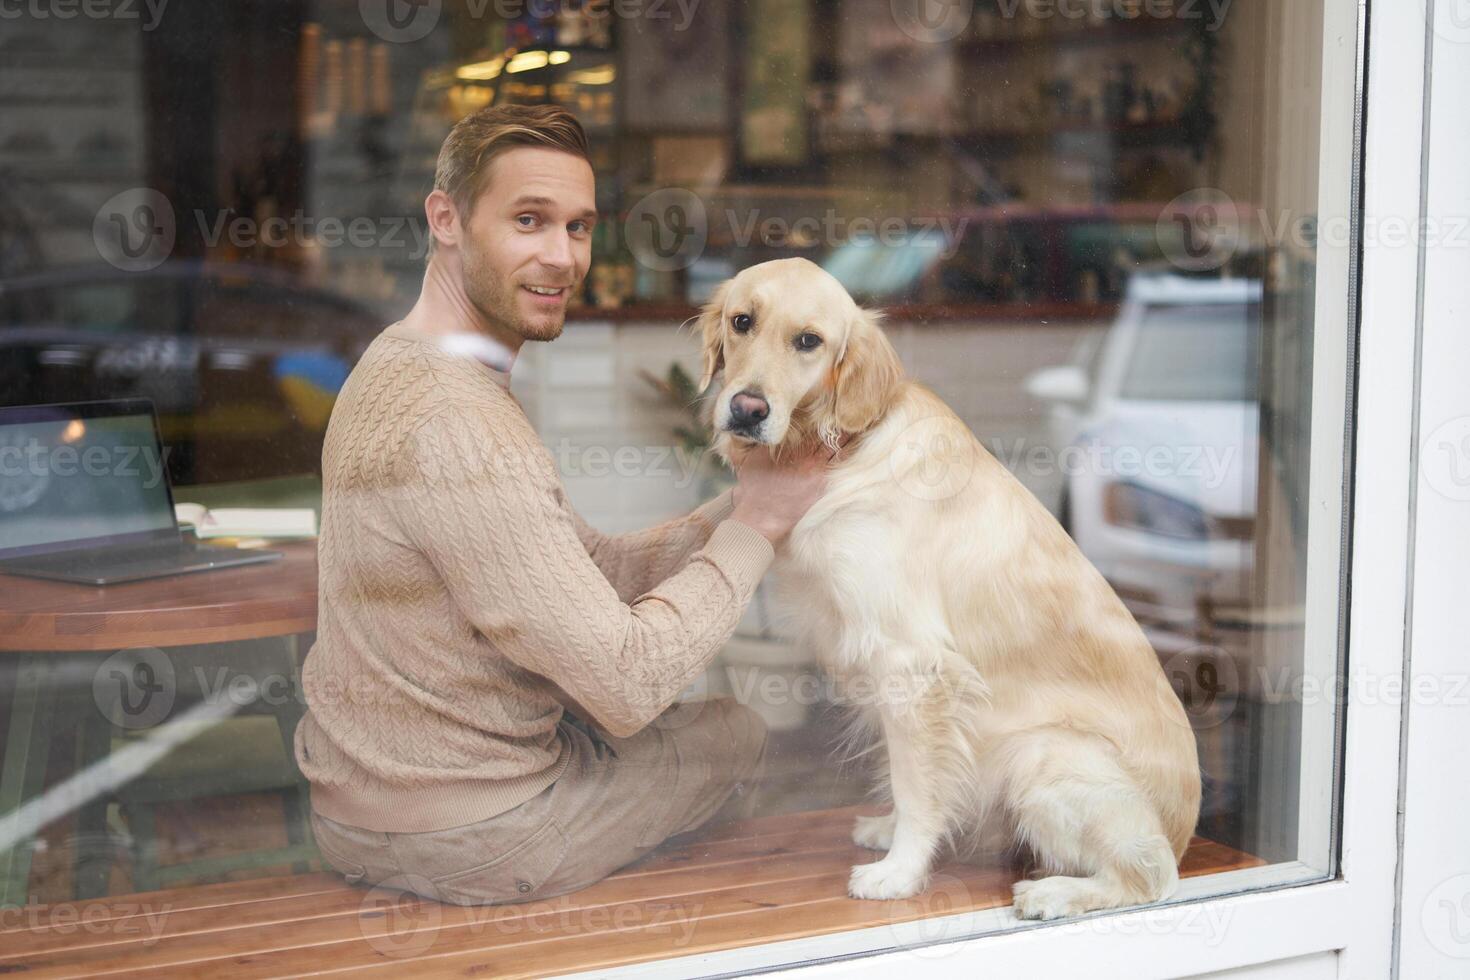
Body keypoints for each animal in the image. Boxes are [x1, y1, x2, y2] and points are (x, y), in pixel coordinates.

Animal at [693, 258, 1199, 922]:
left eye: (809, 341)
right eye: (741, 322)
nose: (747, 409)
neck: (841, 445)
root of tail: (1186, 834)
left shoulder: (913, 664)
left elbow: (916, 786)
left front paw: (900, 872)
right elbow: (911, 777)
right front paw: (890, 833)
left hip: (1043, 754)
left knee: (1154, 879)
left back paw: (1055, 892)